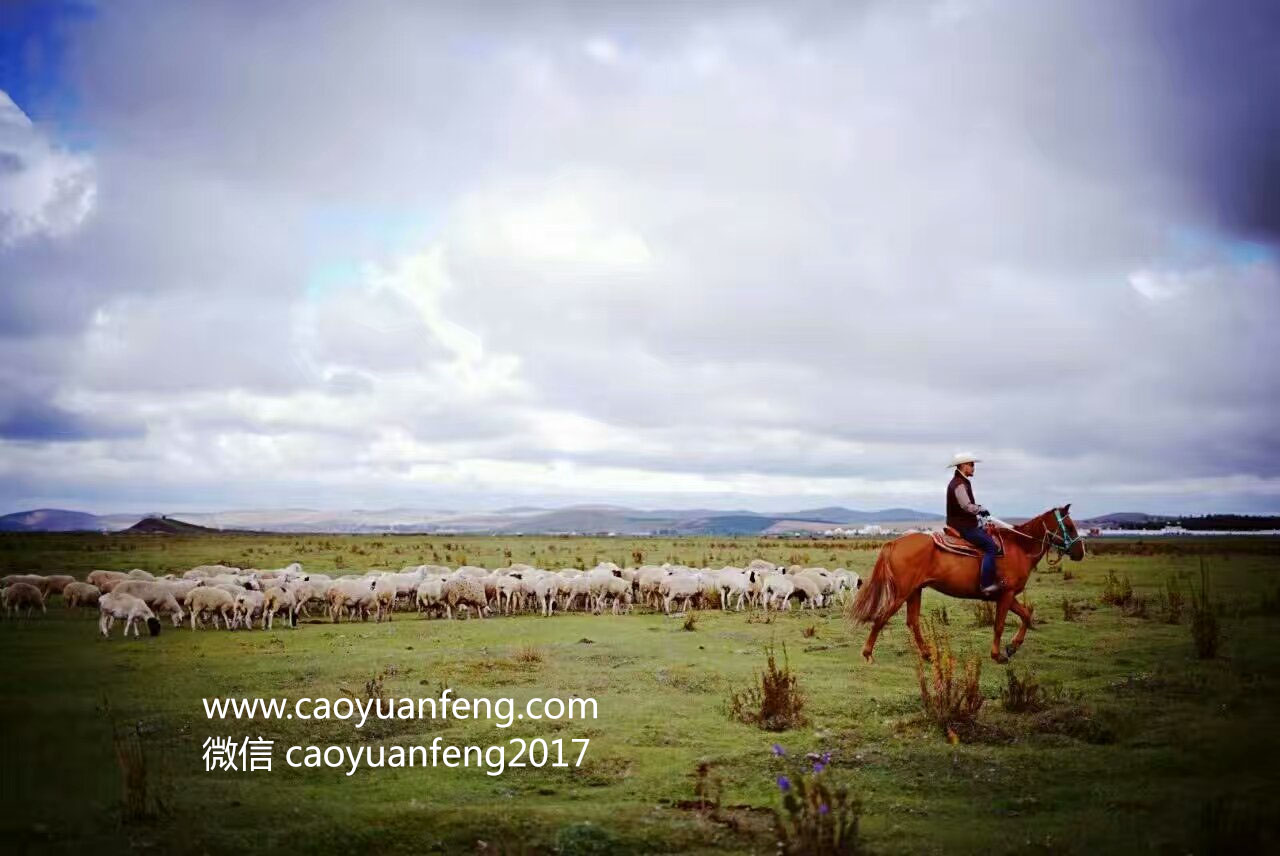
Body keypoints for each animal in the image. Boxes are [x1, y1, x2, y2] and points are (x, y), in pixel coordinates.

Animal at [849, 504, 1080, 665]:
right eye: (1069, 526)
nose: (1080, 552)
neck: (1020, 547)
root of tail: (894, 542)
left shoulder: (1007, 594)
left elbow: (1026, 615)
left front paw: (1012, 647)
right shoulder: (1006, 594)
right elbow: (999, 625)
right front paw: (997, 655)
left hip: (915, 591)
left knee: (912, 622)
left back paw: (927, 654)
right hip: (901, 593)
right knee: (882, 616)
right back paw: (868, 654)